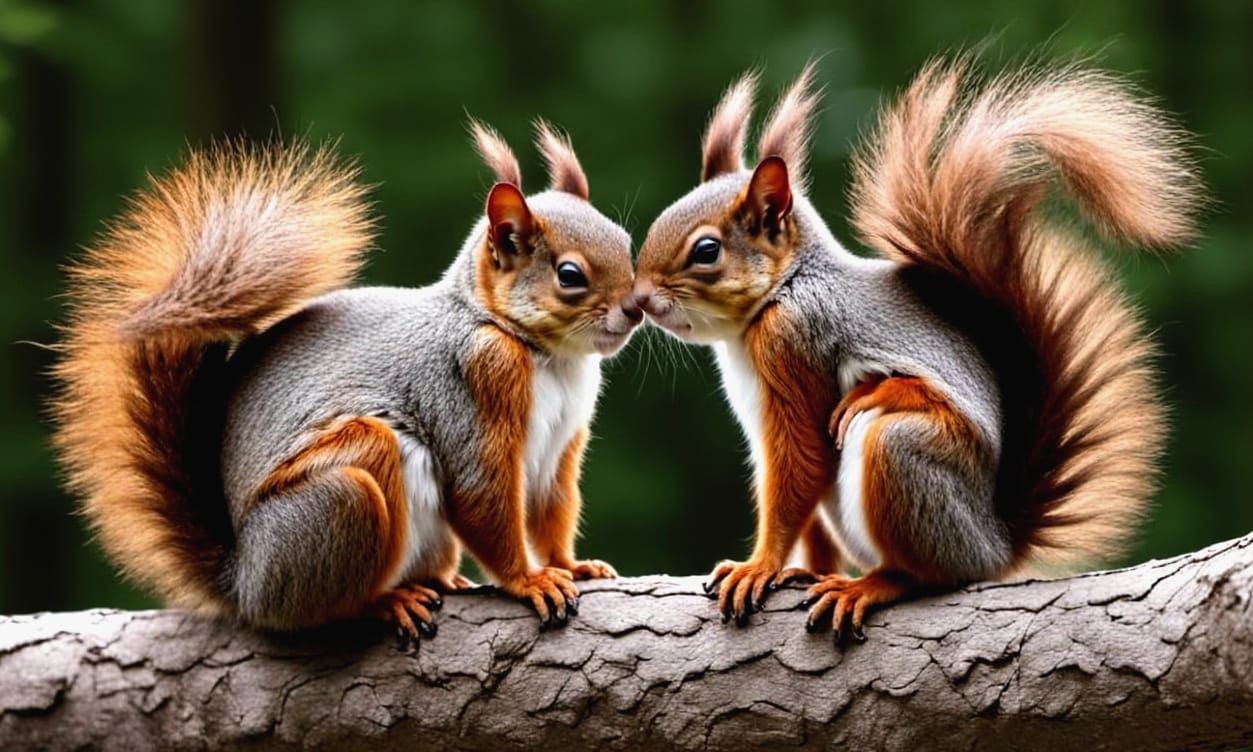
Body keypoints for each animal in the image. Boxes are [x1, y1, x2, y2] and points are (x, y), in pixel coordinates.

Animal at [52, 121, 641, 639]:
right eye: (570, 275)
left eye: (626, 241)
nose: (636, 309)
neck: (551, 359)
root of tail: (245, 585)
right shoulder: (474, 383)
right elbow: (481, 494)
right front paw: (528, 580)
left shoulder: (559, 449)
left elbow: (551, 509)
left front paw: (572, 564)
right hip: (340, 496)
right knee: (326, 604)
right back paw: (386, 601)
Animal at [631, 58, 1205, 637]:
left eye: (707, 251)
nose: (638, 299)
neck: (785, 288)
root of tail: (996, 548)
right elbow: (809, 505)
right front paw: (803, 570)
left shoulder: (794, 344)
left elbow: (799, 470)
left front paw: (760, 566)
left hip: (905, 455)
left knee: (928, 570)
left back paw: (874, 583)